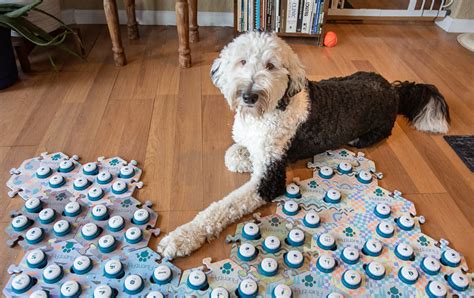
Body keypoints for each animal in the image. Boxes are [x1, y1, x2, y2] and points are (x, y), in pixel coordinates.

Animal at [157, 30, 450, 258]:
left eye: (271, 66)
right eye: (242, 61)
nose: (249, 95)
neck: (268, 110)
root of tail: (393, 89)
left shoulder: (269, 180)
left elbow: (223, 207)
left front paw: (181, 238)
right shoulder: (251, 144)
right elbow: (234, 154)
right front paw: (244, 159)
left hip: (374, 131)